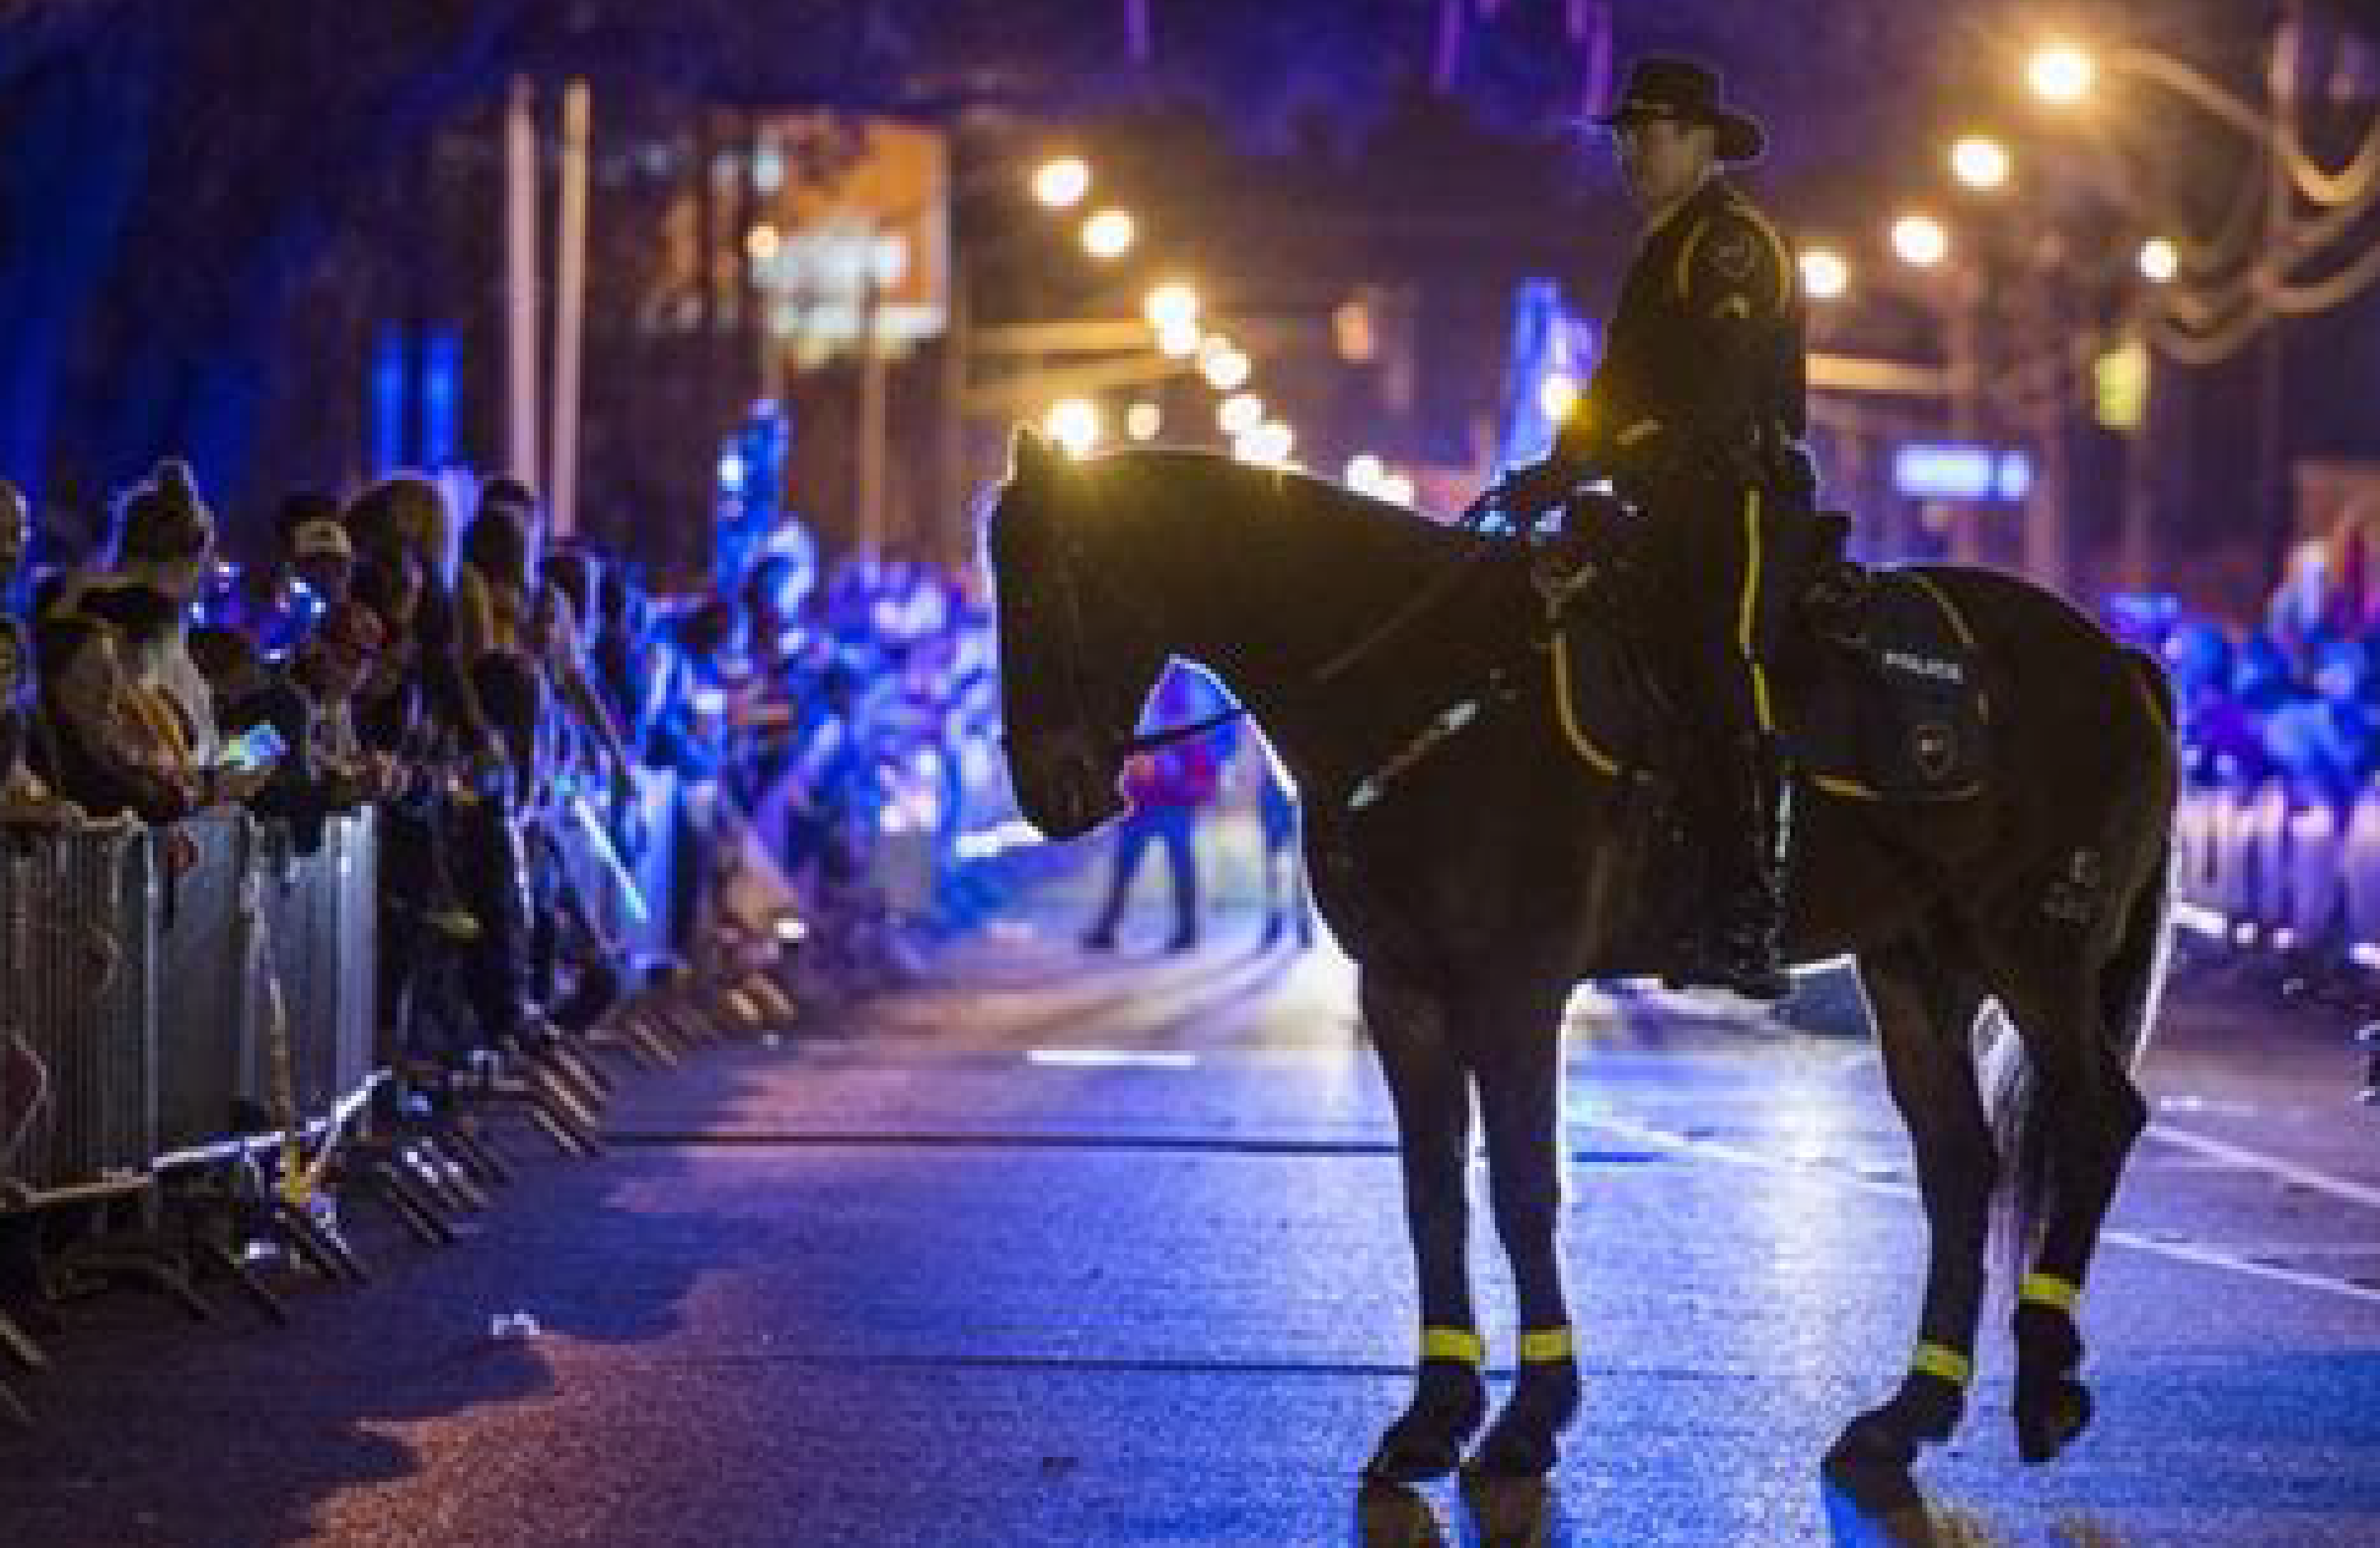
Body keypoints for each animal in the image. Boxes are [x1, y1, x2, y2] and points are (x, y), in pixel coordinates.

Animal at [980, 428, 2180, 1505]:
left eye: (1051, 585)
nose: (1050, 788)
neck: (1423, 676)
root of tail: (2118, 660)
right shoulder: (1402, 991)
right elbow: (1431, 1194)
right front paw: (1433, 1415)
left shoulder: (1515, 986)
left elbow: (1523, 1187)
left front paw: (1527, 1418)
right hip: (1920, 966)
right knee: (1962, 1166)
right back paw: (1905, 1416)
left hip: (2033, 945)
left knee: (2096, 1115)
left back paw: (2046, 1375)